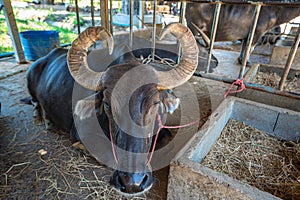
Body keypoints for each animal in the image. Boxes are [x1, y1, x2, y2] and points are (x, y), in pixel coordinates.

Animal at [25, 23, 199, 194]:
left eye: (155, 103)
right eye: (107, 104)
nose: (132, 183)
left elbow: (167, 139)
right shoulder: (80, 132)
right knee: (34, 101)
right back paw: (42, 118)